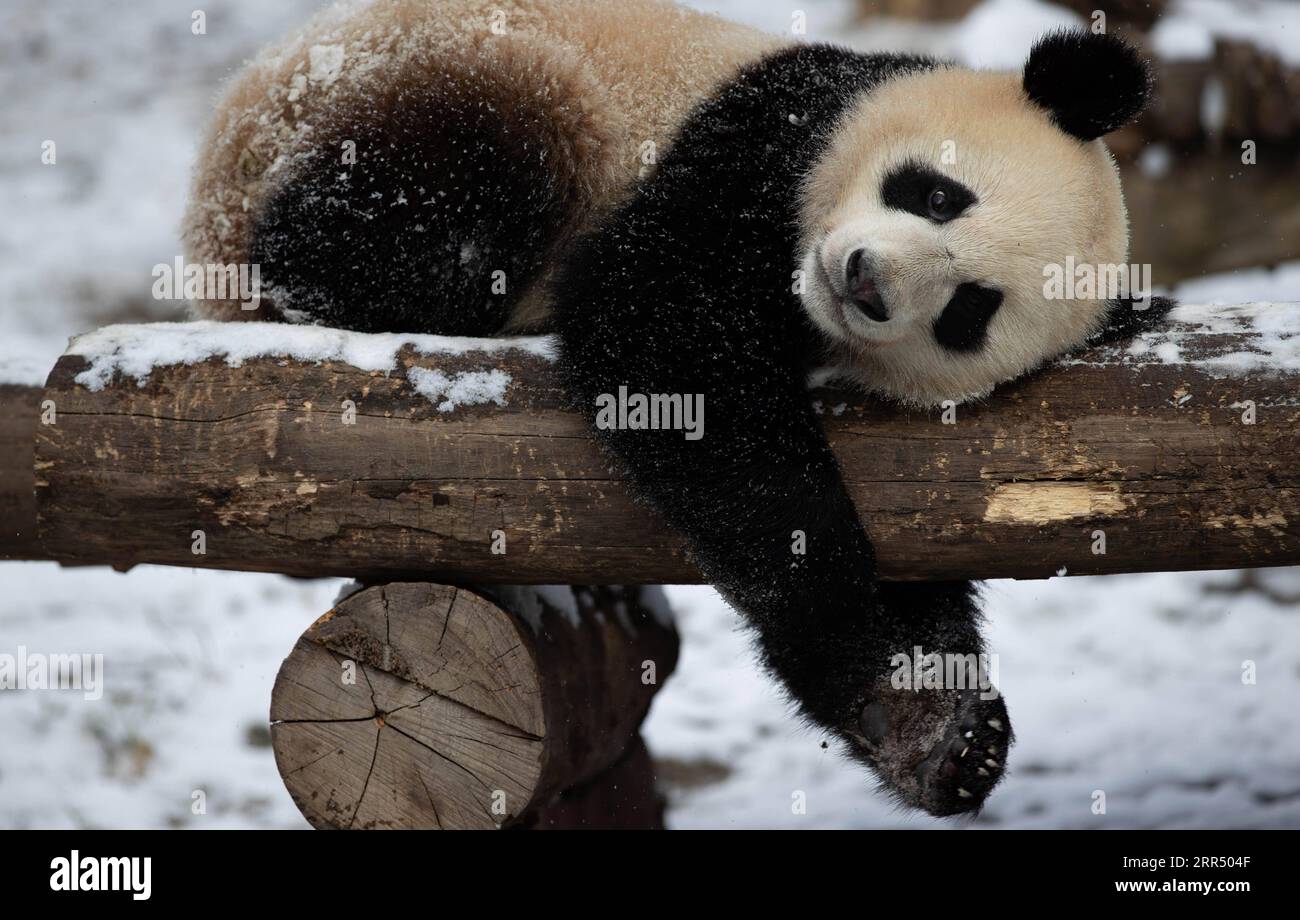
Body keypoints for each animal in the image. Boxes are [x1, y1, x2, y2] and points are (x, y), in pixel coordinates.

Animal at [188, 0, 1175, 821]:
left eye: (970, 311)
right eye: (937, 194)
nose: (865, 283)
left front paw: (941, 733)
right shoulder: (760, 141)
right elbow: (662, 340)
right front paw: (861, 654)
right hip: (440, 83)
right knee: (432, 197)